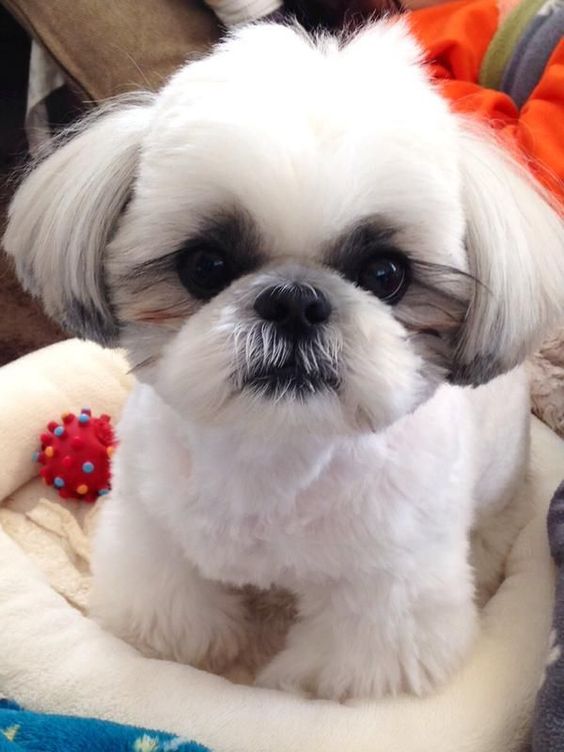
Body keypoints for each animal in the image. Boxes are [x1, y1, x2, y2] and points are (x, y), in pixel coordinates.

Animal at [4, 20, 564, 700]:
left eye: (386, 273)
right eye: (204, 265)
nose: (295, 300)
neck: (275, 449)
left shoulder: (386, 592)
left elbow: (341, 663)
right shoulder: (155, 535)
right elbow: (174, 618)